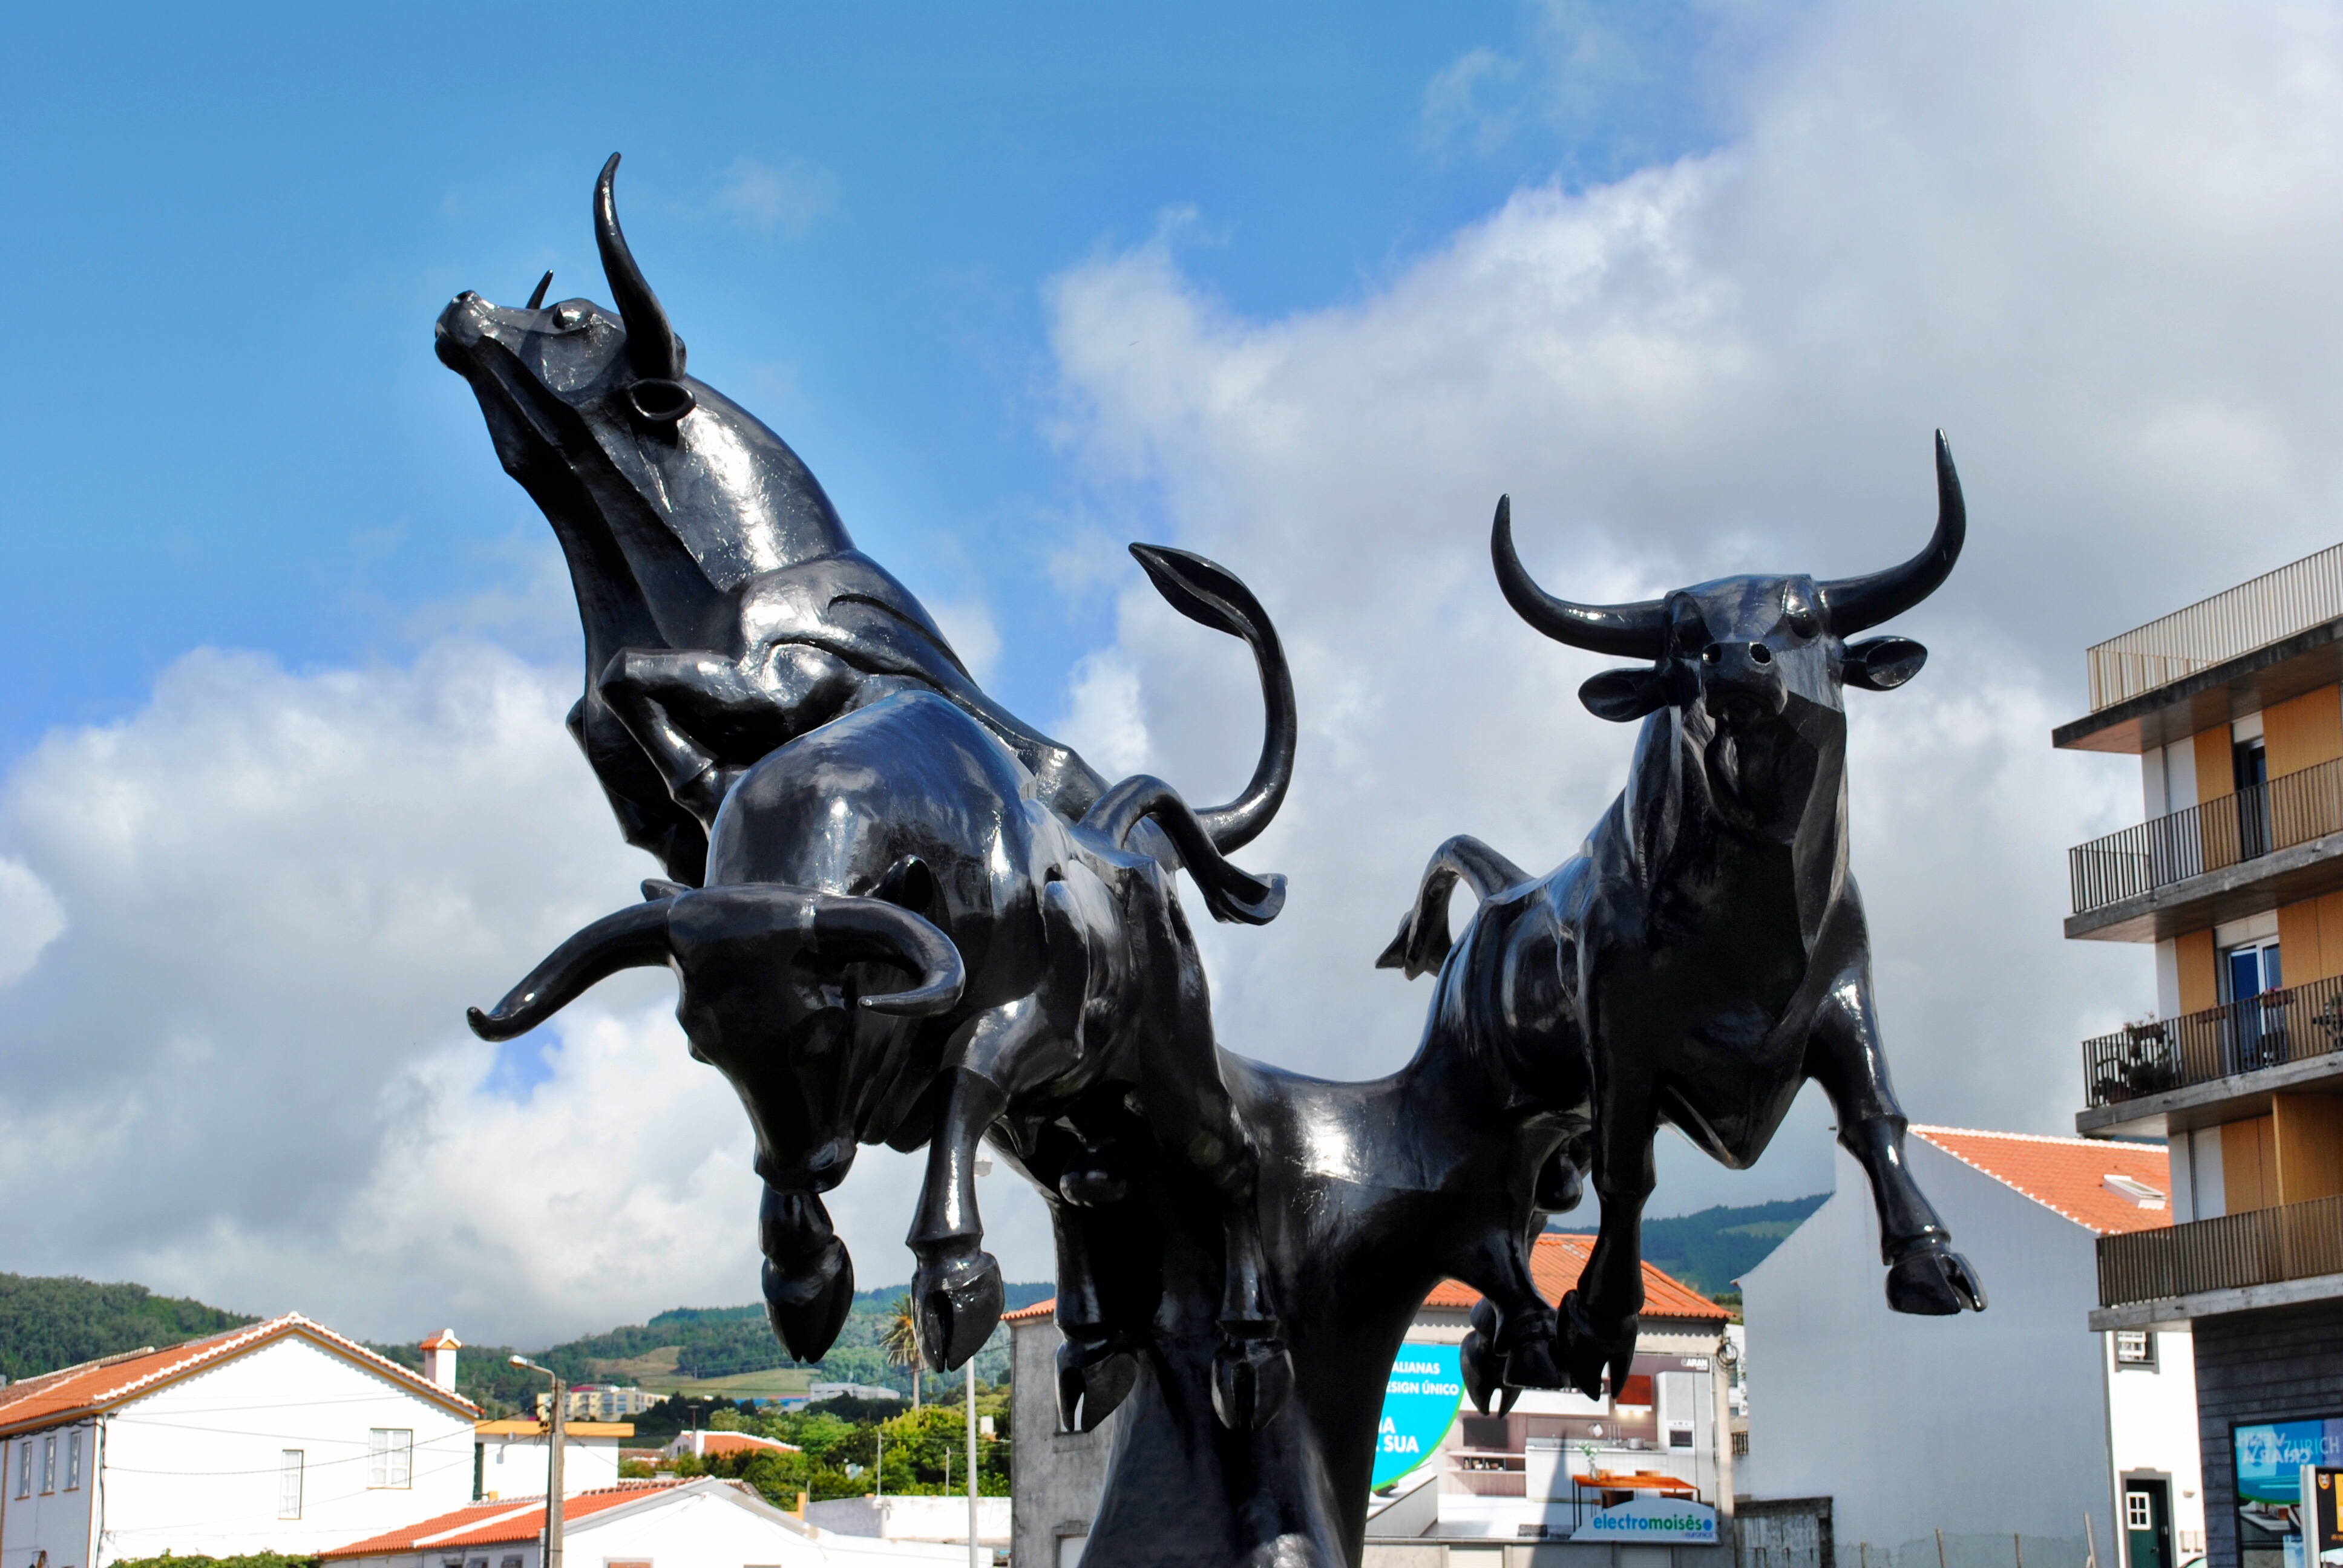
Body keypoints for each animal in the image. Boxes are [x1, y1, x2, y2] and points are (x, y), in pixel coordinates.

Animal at [1377, 431, 1987, 1406]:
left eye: (1806, 622)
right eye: (1683, 639)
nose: (1737, 660)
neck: (1751, 920)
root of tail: (1502, 893)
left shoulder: (1844, 991)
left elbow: (1875, 1113)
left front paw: (1929, 1264)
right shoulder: (1621, 1033)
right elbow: (1631, 1174)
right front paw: (1599, 1321)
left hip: (1554, 1125)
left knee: (1529, 1208)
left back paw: (1504, 1341)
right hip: (1486, 1090)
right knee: (1488, 1205)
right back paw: (1526, 1333)